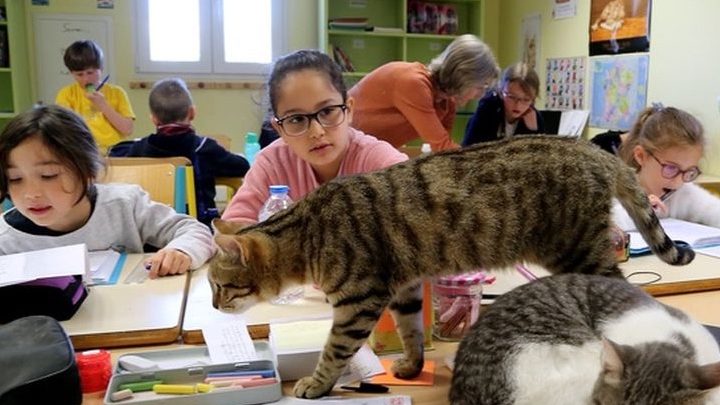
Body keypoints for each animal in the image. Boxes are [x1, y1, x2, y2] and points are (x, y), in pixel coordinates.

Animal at [207, 136, 692, 398]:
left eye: (220, 286)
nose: (211, 307)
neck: (306, 234)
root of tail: (593, 149)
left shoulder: (357, 302)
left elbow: (333, 351)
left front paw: (316, 384)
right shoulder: (402, 288)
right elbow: (411, 330)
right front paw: (410, 365)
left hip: (578, 250)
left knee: (626, 291)